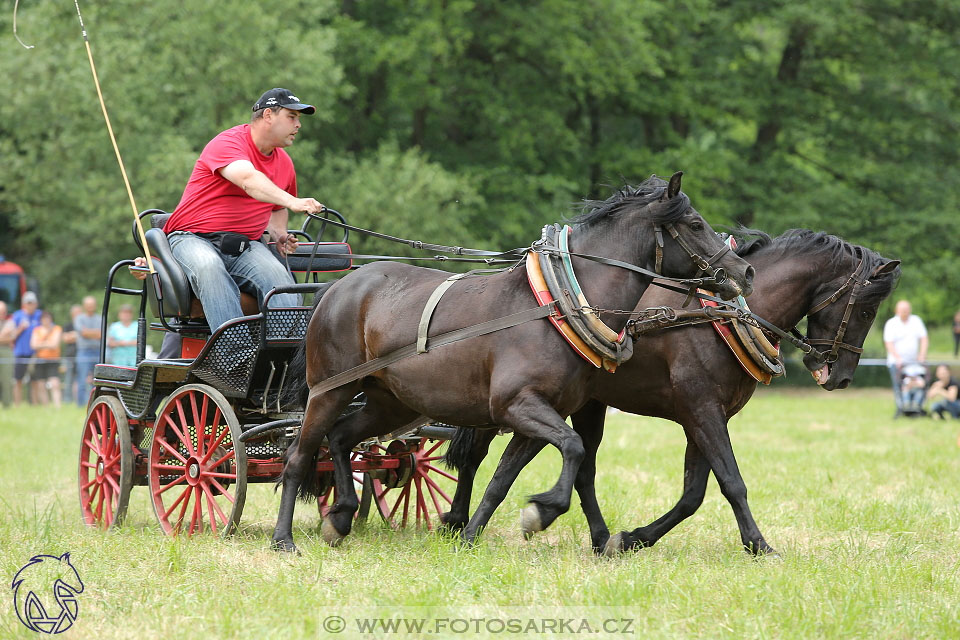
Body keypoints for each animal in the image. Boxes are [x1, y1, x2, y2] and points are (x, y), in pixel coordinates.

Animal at [272, 174, 756, 552]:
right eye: (695, 224)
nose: (744, 272)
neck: (557, 306)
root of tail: (337, 287)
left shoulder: (540, 413)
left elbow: (505, 476)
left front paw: (472, 533)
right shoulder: (517, 405)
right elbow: (573, 449)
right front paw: (541, 512)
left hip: (391, 402)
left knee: (340, 438)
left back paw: (340, 516)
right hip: (331, 390)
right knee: (299, 455)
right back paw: (284, 538)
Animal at [442, 229, 900, 556]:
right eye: (865, 310)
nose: (840, 376)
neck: (718, 316)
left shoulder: (707, 414)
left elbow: (693, 494)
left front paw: (634, 538)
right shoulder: (702, 409)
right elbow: (732, 482)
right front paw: (759, 544)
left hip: (588, 404)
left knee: (583, 469)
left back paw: (600, 538)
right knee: (476, 455)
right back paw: (457, 519)